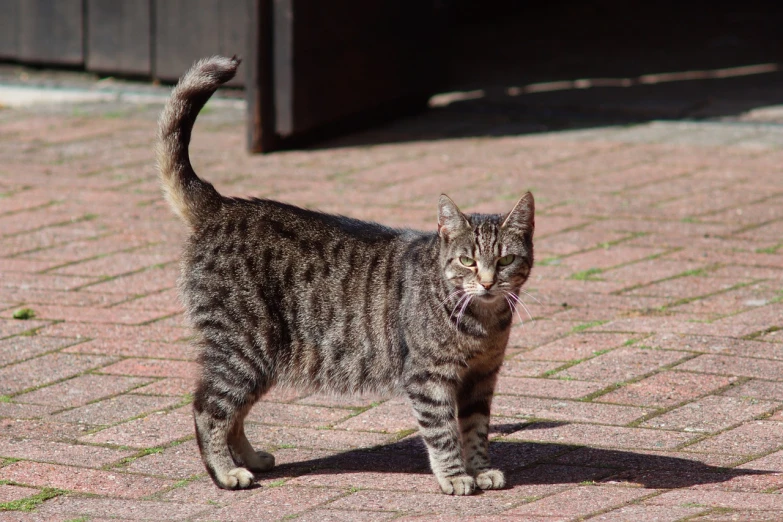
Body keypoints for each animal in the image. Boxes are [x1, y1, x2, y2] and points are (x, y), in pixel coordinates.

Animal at [158, 54, 540, 494]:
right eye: (467, 261)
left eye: (505, 260)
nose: (488, 281)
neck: (482, 322)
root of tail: (221, 205)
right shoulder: (430, 378)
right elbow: (444, 432)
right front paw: (456, 476)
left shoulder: (482, 378)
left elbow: (475, 429)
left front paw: (480, 468)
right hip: (242, 348)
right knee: (209, 408)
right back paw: (225, 471)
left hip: (260, 358)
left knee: (234, 413)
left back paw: (251, 459)